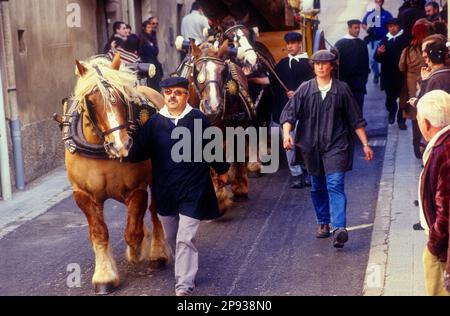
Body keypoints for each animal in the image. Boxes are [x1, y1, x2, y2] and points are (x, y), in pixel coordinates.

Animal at [60, 53, 170, 294]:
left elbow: (132, 231)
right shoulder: (83, 194)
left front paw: (137, 250)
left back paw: (157, 253)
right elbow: (99, 233)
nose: (121, 145)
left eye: (121, 96)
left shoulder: (137, 189)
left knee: (155, 211)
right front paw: (104, 276)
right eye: (91, 101)